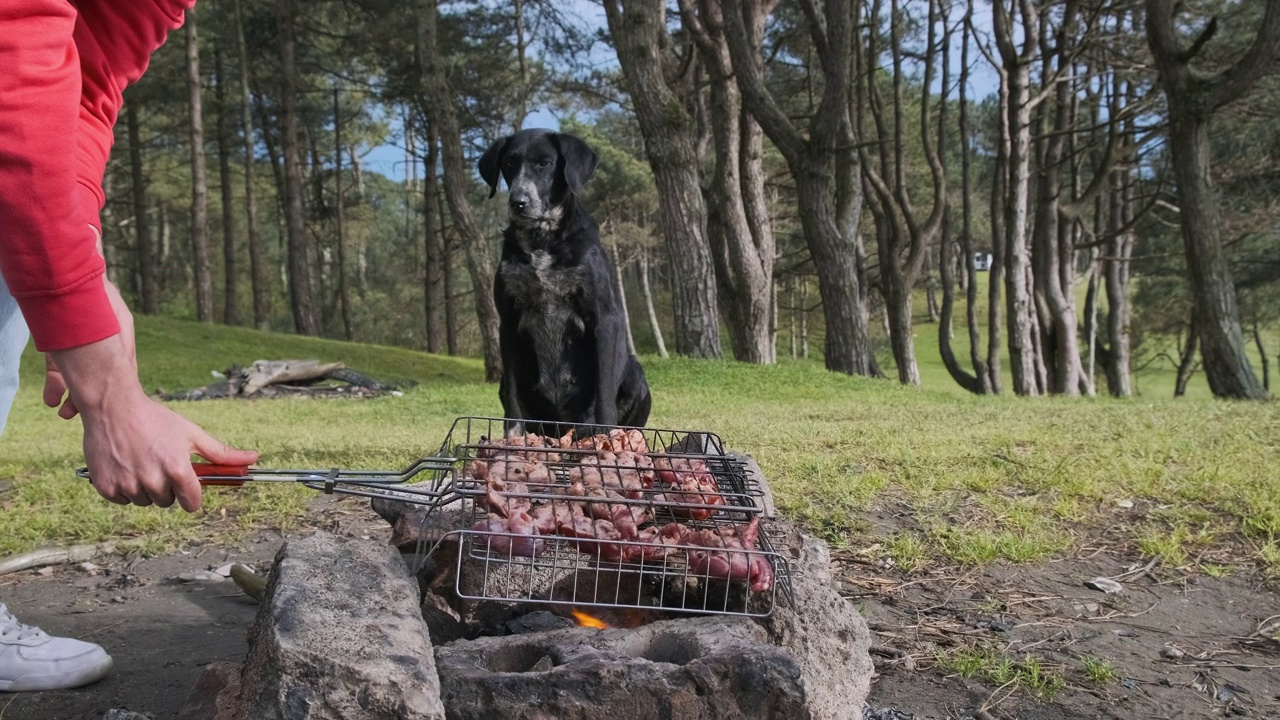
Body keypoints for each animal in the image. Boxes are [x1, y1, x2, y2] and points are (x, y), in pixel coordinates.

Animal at [478, 126, 650, 435]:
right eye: (508, 163)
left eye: (544, 163)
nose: (518, 202)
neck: (542, 239)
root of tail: (561, 425)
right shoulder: (508, 323)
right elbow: (512, 395)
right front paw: (512, 437)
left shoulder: (604, 317)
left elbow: (604, 391)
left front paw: (606, 439)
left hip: (635, 374)